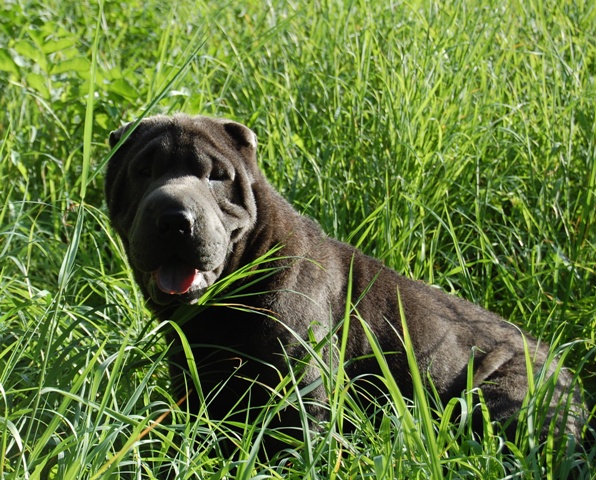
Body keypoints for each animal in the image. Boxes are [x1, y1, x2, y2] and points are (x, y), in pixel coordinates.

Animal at [105, 114, 586, 452]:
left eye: (216, 177)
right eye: (143, 171)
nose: (174, 218)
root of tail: (573, 379)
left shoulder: (301, 391)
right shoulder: (193, 383)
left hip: (504, 398)